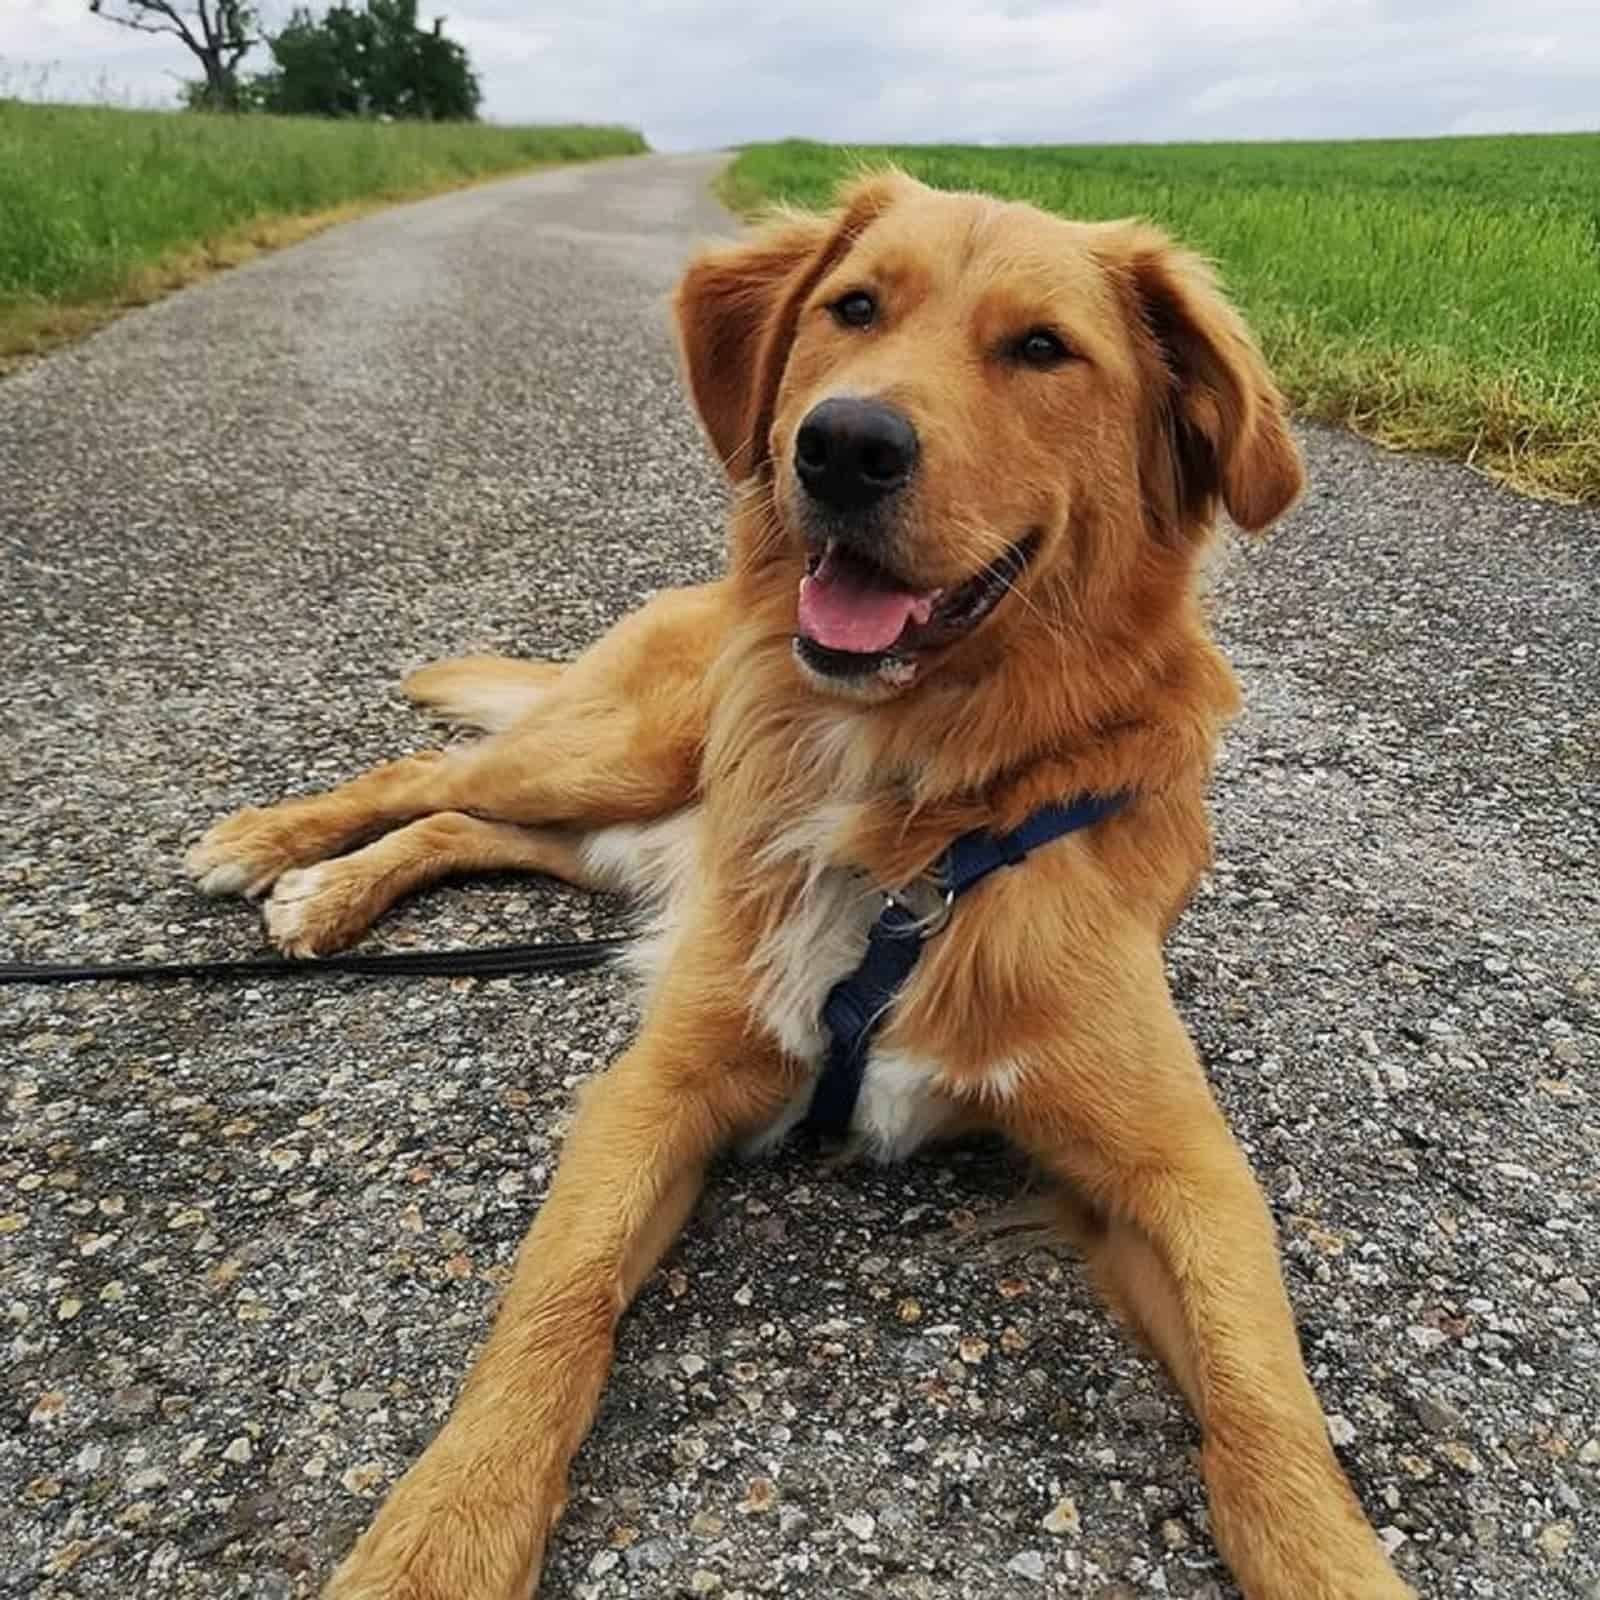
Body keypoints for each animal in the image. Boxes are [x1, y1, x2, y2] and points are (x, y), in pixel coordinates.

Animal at [184, 168, 1414, 1593]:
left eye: (1042, 348)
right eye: (854, 308)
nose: (842, 445)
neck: (916, 818)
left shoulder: (1182, 1168)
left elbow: (1266, 1414)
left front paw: (1332, 1556)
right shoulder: (658, 1087)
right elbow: (555, 1309)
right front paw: (439, 1537)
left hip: (628, 826)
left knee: (459, 821)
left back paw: (327, 888)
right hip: (616, 756)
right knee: (426, 774)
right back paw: (280, 850)